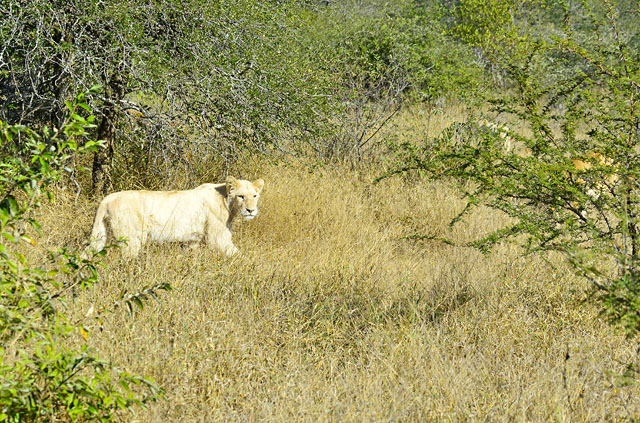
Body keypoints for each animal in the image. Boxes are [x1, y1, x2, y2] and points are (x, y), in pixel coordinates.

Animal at [87, 176, 264, 257]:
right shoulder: (217, 237)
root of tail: (107, 199)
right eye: (241, 196)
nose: (251, 210)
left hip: (101, 233)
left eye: (255, 196)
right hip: (132, 238)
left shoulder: (193, 240)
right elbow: (237, 254)